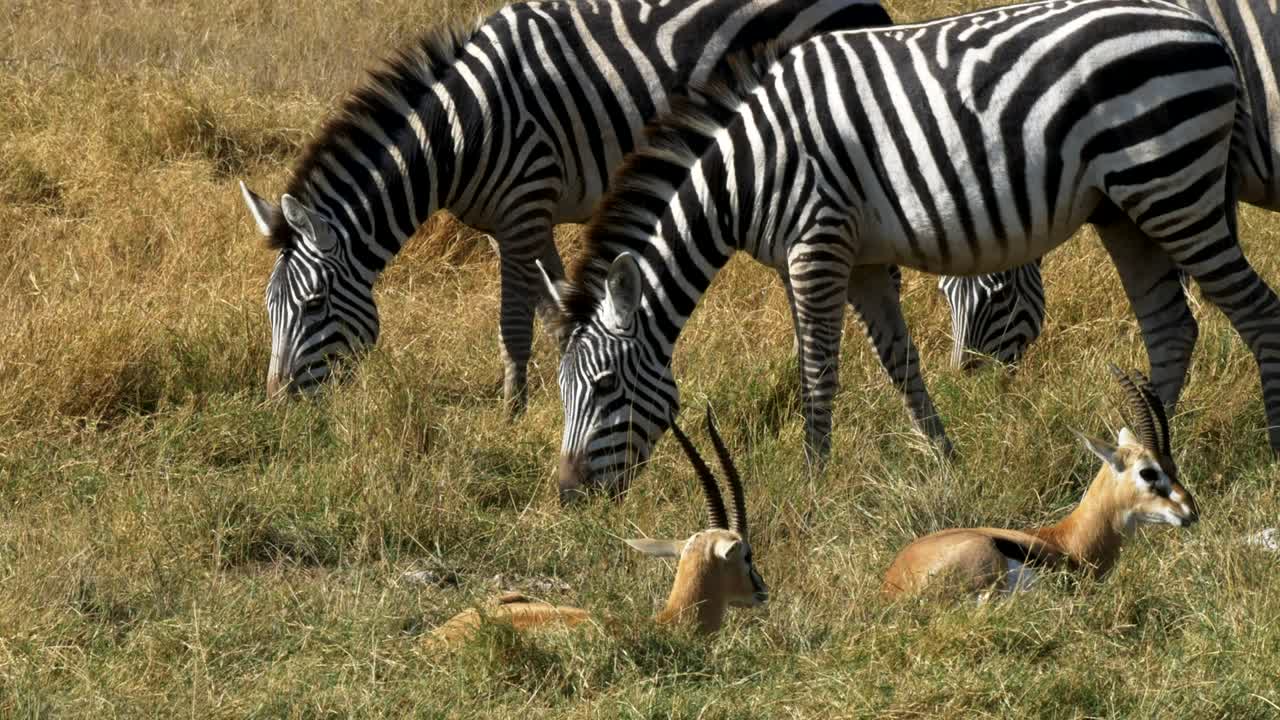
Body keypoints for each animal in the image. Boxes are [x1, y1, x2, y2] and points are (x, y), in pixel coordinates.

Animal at [237, 0, 892, 412]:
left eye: (313, 304)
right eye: (268, 306)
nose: (276, 404)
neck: (461, 130)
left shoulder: (523, 206)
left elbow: (513, 323)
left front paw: (513, 413)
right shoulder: (523, 218)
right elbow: (554, 314)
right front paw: (563, 397)